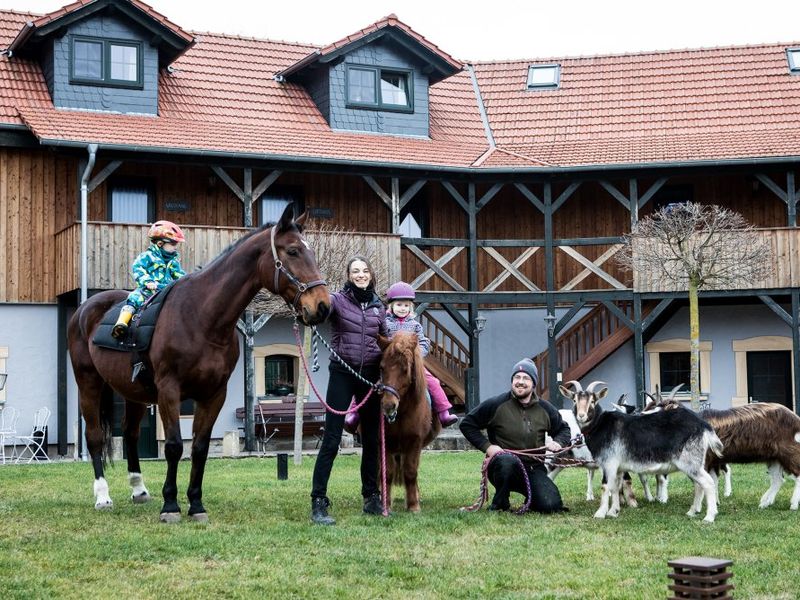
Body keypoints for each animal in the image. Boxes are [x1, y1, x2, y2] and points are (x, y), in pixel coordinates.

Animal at [67, 205, 330, 520]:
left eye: (310, 251)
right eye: (292, 251)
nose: (323, 306)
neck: (201, 317)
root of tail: (85, 309)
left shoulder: (214, 394)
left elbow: (201, 447)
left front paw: (195, 504)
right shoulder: (169, 391)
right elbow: (173, 446)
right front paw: (170, 505)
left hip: (134, 394)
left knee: (129, 434)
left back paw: (139, 489)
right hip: (88, 384)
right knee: (94, 436)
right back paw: (102, 496)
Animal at [378, 332, 440, 510]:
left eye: (405, 369)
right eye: (382, 367)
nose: (388, 405)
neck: (402, 413)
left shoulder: (415, 442)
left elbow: (411, 472)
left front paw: (413, 506)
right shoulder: (384, 441)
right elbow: (387, 473)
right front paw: (386, 505)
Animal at [560, 382, 720, 524]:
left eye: (592, 401)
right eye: (574, 400)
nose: (581, 415)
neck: (600, 425)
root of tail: (703, 425)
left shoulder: (609, 463)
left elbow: (606, 486)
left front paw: (600, 514)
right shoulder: (618, 468)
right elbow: (616, 486)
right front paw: (613, 512)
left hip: (689, 461)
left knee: (708, 483)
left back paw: (709, 517)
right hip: (694, 463)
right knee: (699, 485)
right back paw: (692, 511)